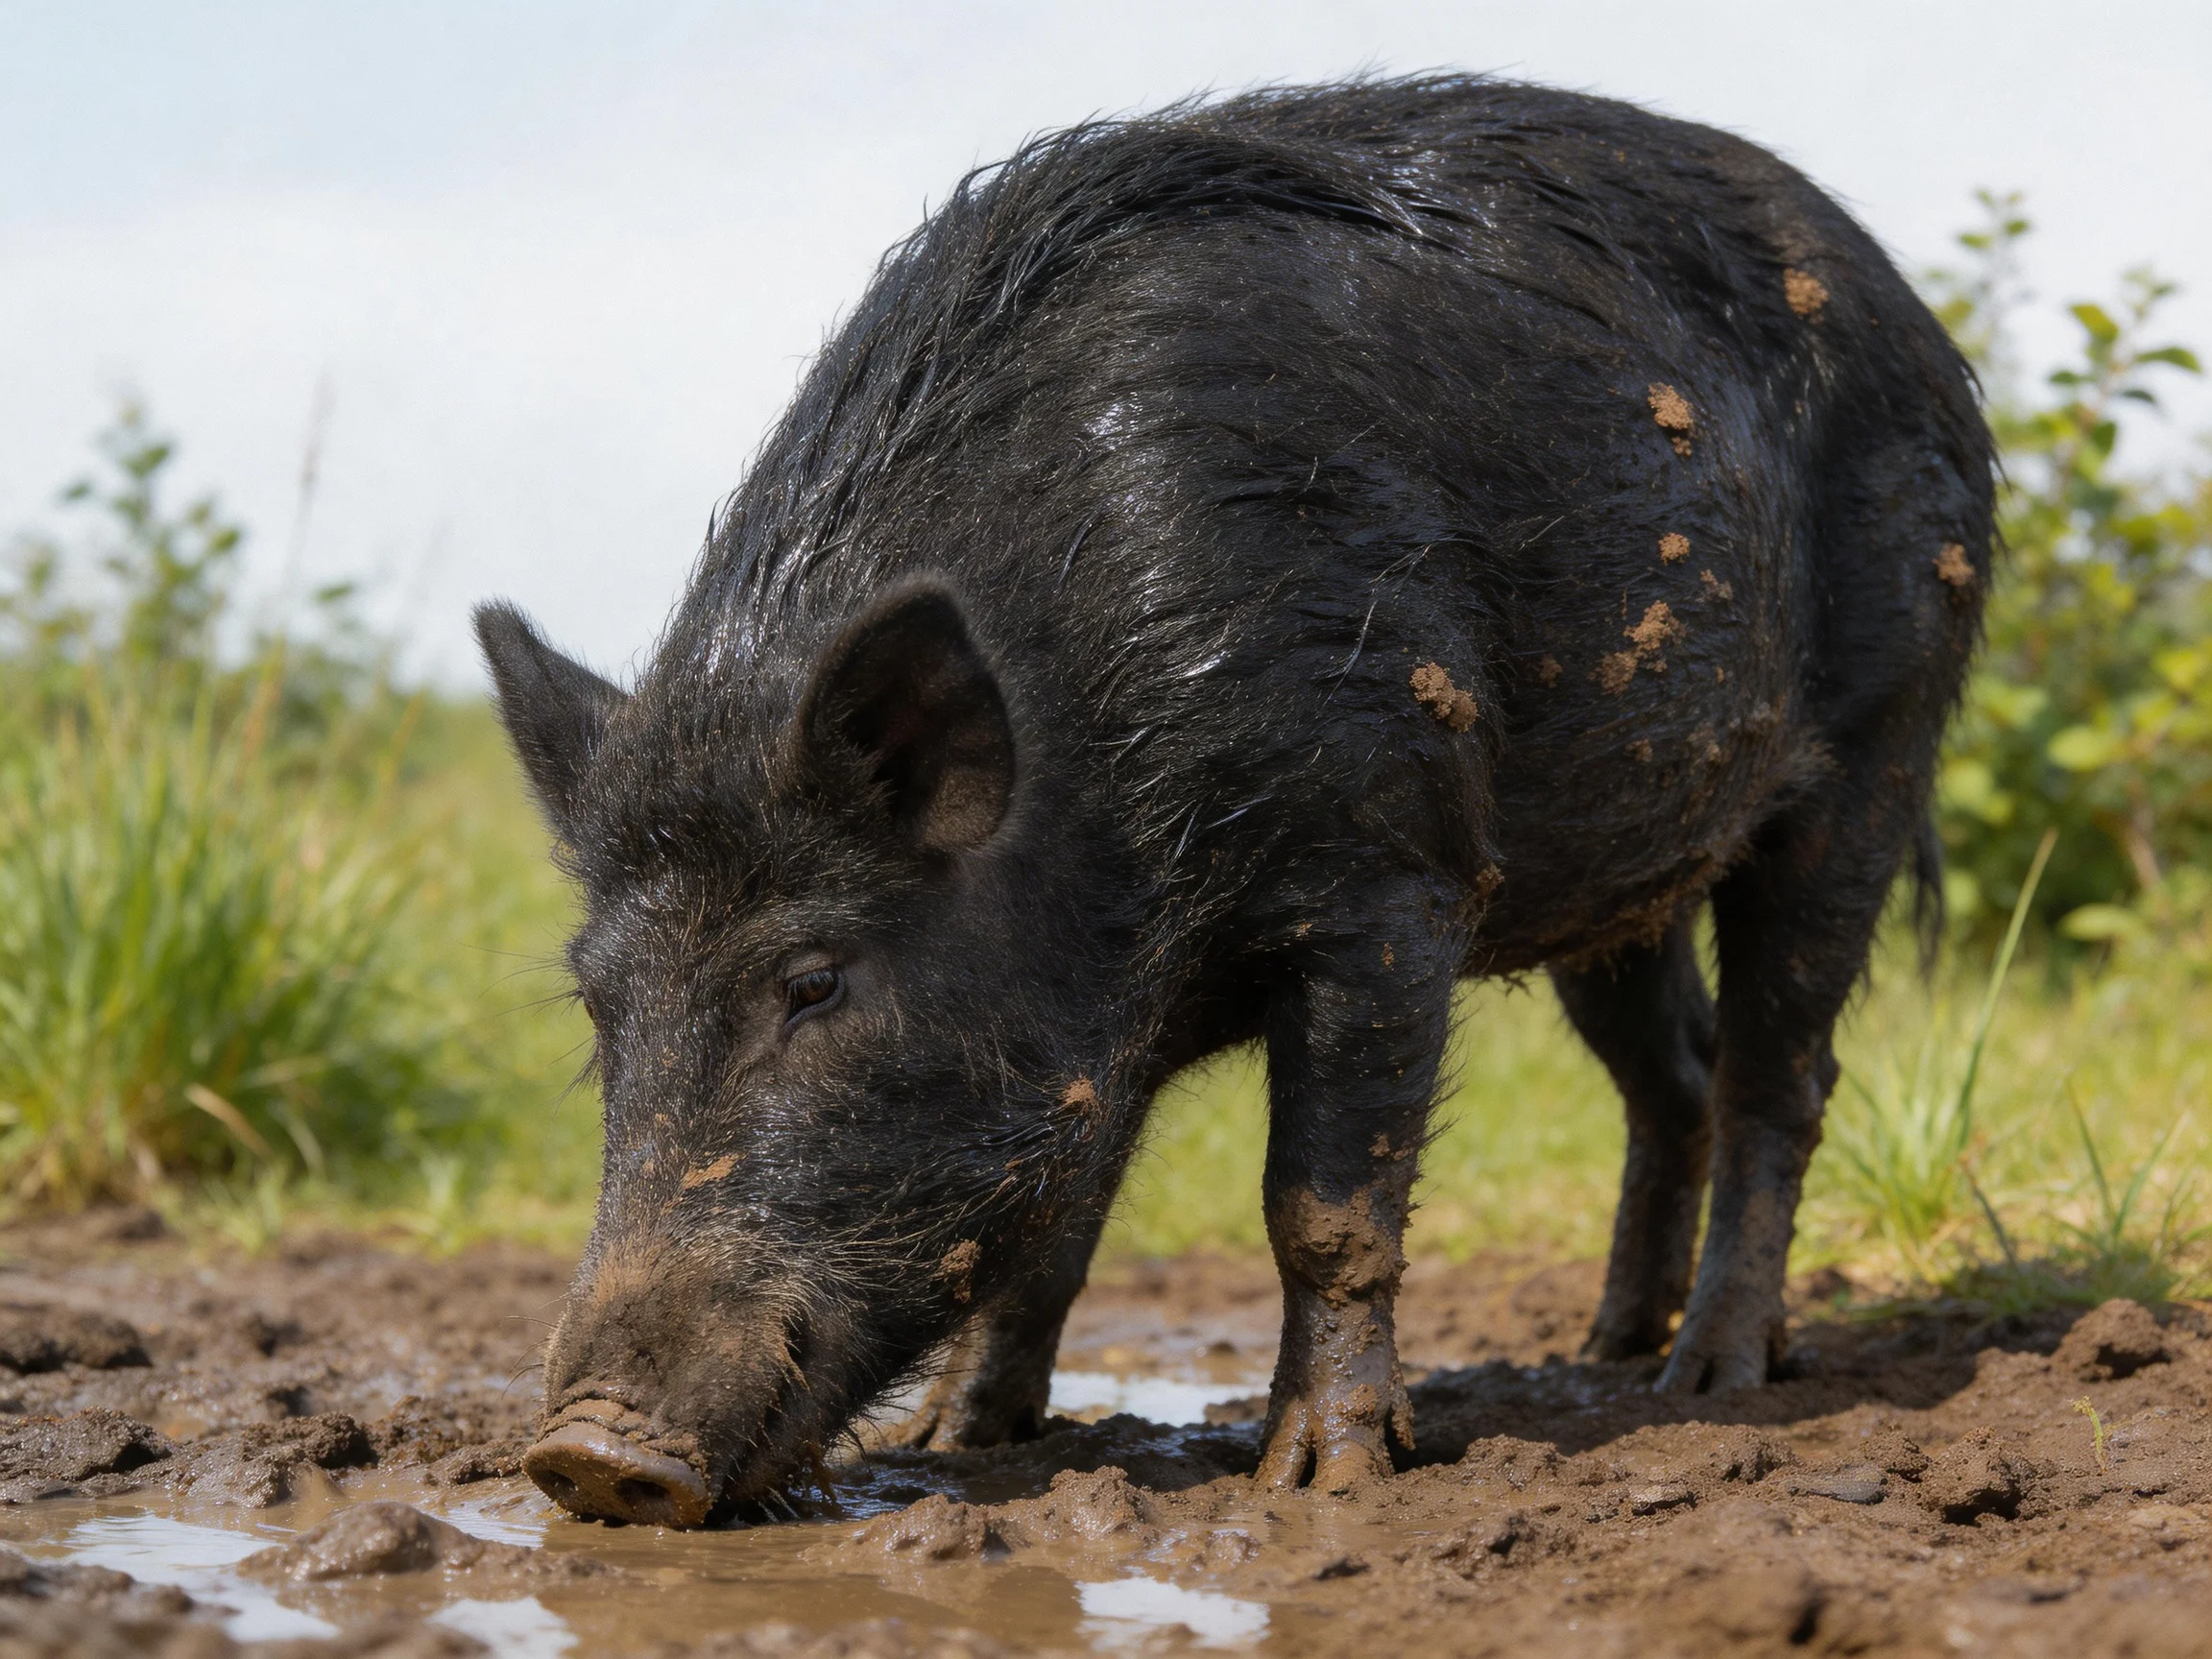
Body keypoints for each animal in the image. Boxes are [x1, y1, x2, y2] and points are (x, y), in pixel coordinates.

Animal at [478, 75, 1991, 1525]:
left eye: (813, 981)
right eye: (598, 1005)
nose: (584, 1456)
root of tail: (1921, 326)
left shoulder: (1390, 870)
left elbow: (1323, 1202)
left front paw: (1319, 1481)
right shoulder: (1102, 1026)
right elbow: (1054, 1230)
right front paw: (955, 1443)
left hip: (1879, 743)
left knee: (1775, 1071)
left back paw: (1711, 1374)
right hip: (1615, 875)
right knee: (1670, 1076)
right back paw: (1608, 1349)